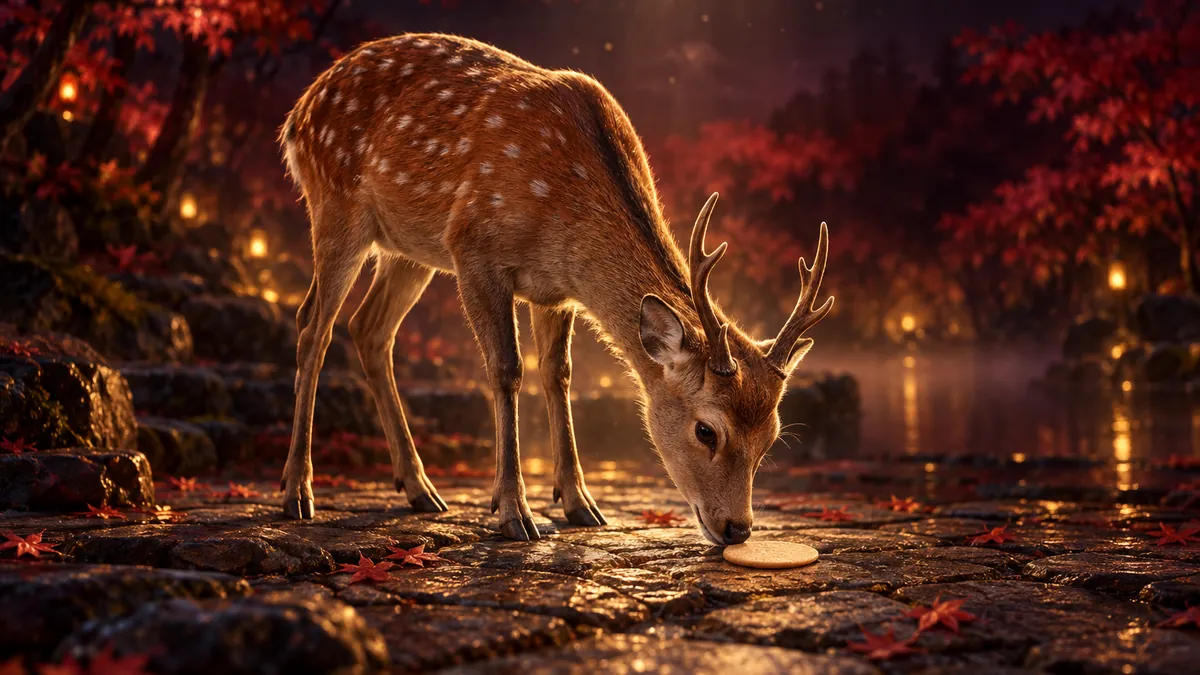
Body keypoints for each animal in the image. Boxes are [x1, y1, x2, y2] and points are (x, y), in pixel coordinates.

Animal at [278, 33, 834, 543]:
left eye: (771, 437)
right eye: (706, 430)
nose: (738, 528)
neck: (567, 218)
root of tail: (296, 116)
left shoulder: (553, 290)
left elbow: (558, 374)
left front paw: (579, 503)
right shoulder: (474, 247)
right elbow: (506, 371)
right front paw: (513, 513)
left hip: (406, 248)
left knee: (369, 328)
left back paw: (420, 488)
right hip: (336, 206)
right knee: (313, 326)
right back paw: (297, 492)